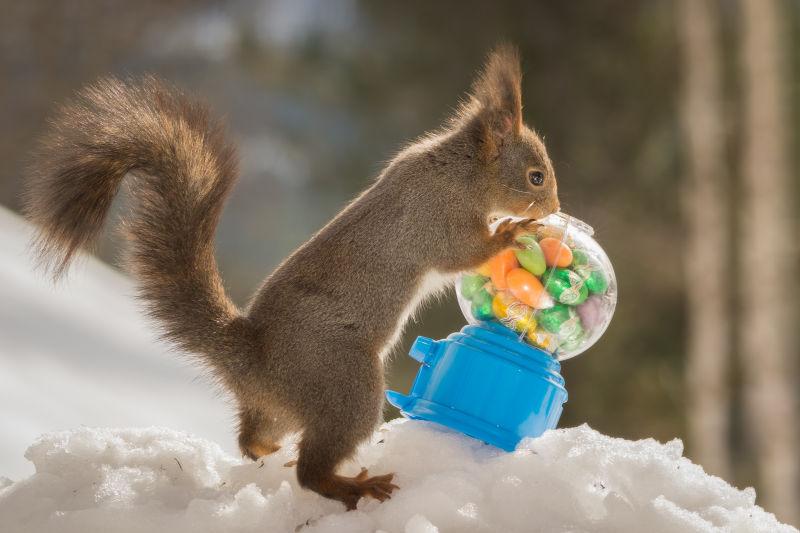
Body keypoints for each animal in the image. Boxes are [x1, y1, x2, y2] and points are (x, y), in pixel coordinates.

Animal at [26, 45, 564, 508]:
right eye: (536, 176)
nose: (554, 208)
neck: (461, 170)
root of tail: (254, 363)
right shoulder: (438, 217)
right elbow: (465, 253)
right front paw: (514, 232)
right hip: (345, 383)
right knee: (311, 472)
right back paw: (354, 487)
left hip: (284, 409)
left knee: (252, 439)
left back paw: (270, 453)